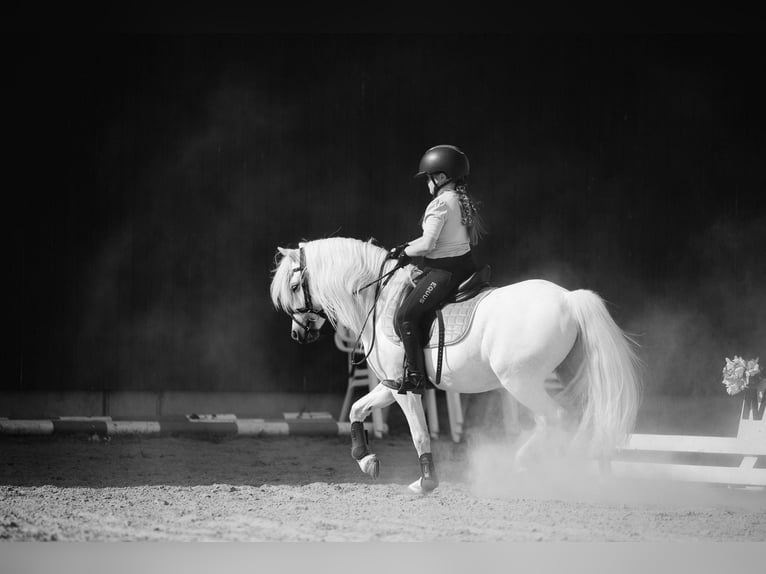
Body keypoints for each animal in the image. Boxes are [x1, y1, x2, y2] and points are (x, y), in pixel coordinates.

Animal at [270, 237, 641, 494]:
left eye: (294, 286)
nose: (298, 334)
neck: (380, 298)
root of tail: (568, 298)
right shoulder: (392, 384)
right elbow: (356, 409)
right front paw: (366, 459)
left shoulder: (404, 389)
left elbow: (419, 434)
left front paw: (426, 483)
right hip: (558, 377)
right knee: (579, 419)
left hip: (521, 382)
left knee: (556, 419)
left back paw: (529, 465)